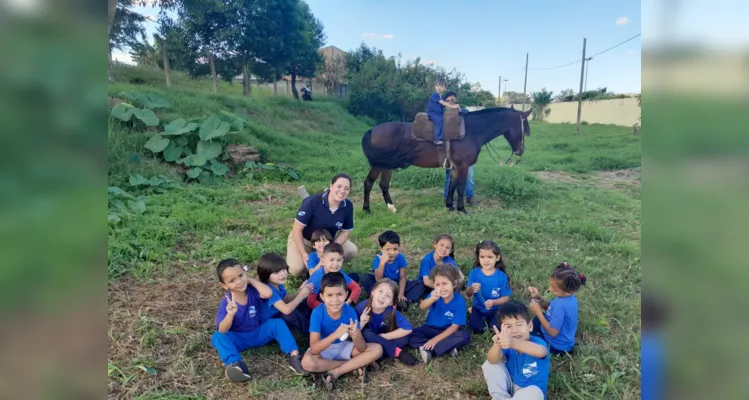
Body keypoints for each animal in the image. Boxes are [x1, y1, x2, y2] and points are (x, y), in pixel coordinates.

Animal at [360, 105, 528, 212]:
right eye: (525, 127)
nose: (520, 151)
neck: (471, 132)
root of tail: (371, 130)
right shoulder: (463, 166)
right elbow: (460, 186)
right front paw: (461, 208)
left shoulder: (454, 167)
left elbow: (452, 185)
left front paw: (449, 206)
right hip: (379, 165)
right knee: (368, 183)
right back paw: (367, 209)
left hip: (387, 166)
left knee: (383, 185)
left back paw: (391, 207)